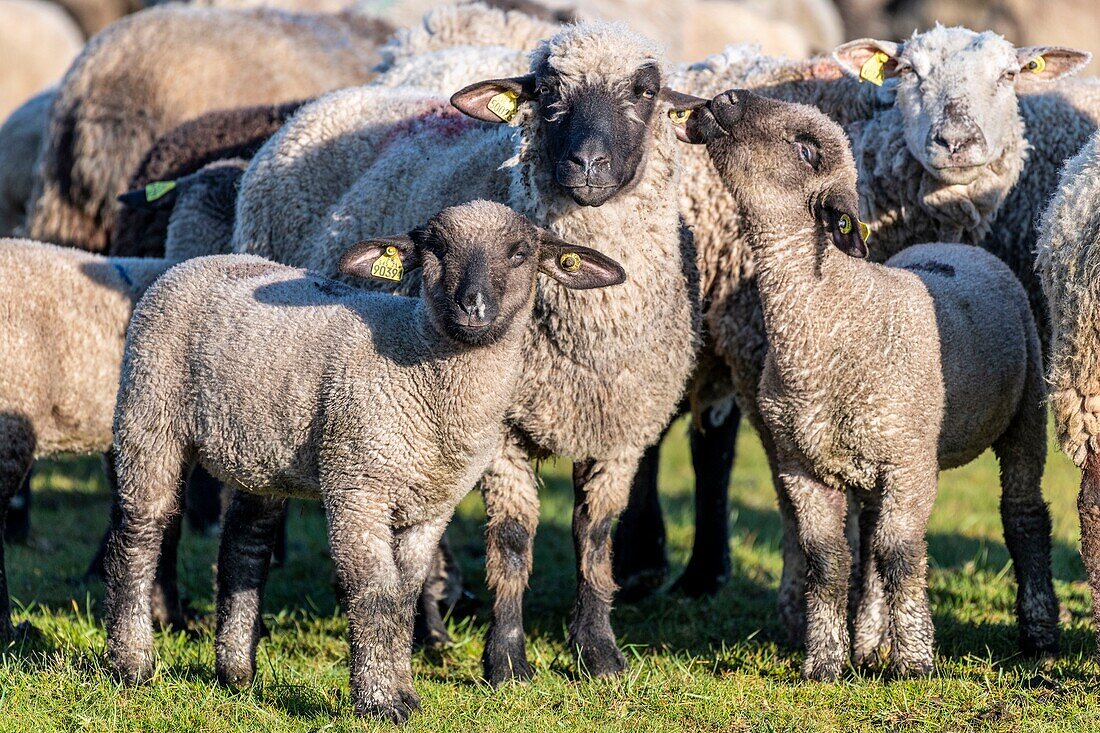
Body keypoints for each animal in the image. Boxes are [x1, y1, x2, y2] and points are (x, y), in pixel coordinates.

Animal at [107, 198, 633, 717]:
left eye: (520, 252)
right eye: (437, 248)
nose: (474, 307)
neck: (422, 366)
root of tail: (196, 263)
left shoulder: (432, 506)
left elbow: (404, 596)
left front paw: (404, 691)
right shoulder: (358, 486)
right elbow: (375, 593)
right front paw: (380, 701)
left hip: (258, 451)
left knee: (243, 545)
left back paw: (236, 672)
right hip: (148, 410)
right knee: (139, 533)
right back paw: (131, 665)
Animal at [229, 24, 704, 686]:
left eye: (646, 90)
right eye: (548, 90)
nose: (587, 164)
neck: (590, 328)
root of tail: (322, 104)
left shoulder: (620, 431)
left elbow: (595, 540)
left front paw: (598, 652)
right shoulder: (501, 431)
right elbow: (512, 539)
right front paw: (507, 660)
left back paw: (426, 632)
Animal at [677, 88, 1056, 677]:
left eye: (807, 149)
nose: (727, 98)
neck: (835, 311)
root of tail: (963, 250)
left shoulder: (909, 462)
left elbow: (903, 557)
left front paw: (916, 663)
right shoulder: (802, 466)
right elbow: (829, 562)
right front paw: (825, 663)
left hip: (1024, 414)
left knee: (1023, 516)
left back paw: (1038, 634)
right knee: (874, 543)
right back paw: (868, 642)